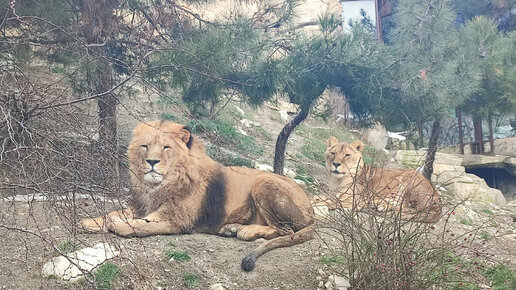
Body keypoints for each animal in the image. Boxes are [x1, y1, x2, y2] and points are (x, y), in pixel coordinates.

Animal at [80, 119, 314, 270]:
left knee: (284, 229)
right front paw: (89, 222)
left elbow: (141, 225)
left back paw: (246, 231)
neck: (158, 186)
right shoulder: (143, 207)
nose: (152, 162)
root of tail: (312, 212)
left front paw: (118, 226)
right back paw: (231, 228)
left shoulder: (177, 220)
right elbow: (114, 213)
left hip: (263, 181)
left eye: (166, 147)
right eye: (145, 146)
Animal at [312, 137, 442, 223]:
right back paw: (380, 205)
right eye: (333, 153)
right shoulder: (332, 193)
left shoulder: (351, 201)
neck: (337, 180)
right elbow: (319, 196)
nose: (336, 164)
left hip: (409, 177)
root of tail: (439, 200)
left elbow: (327, 202)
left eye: (347, 155)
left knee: (410, 208)